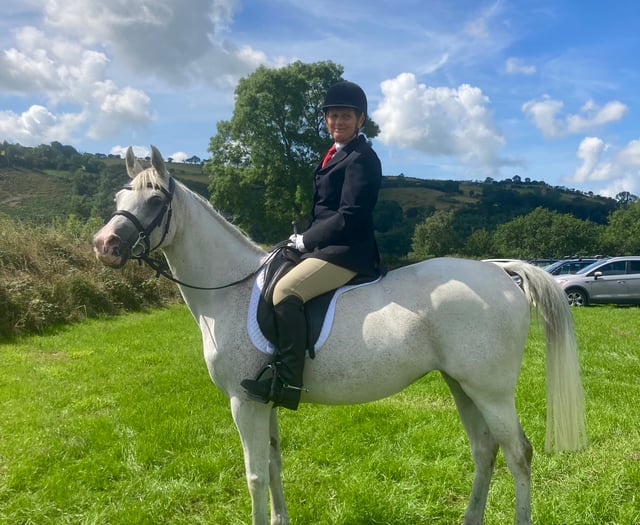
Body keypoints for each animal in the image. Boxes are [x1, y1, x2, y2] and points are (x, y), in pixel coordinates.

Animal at [93, 146, 587, 525]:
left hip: (491, 390)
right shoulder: (264, 399)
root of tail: (501, 274)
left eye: (155, 201)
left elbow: (254, 473)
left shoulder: (244, 401)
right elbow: (273, 463)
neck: (230, 289)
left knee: (518, 454)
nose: (104, 246)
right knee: (485, 449)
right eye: (120, 195)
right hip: (461, 384)